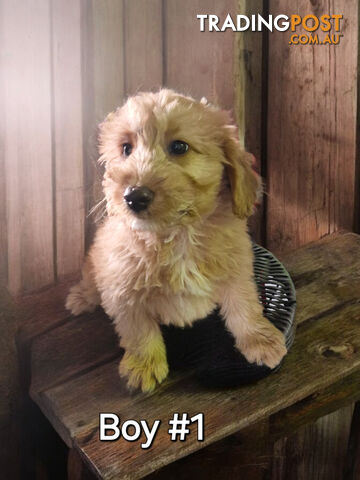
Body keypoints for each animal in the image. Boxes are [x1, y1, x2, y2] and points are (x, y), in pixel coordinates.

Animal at [65, 89, 286, 390]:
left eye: (179, 147)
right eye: (126, 148)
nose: (134, 196)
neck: (176, 235)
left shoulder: (236, 270)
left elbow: (245, 305)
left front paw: (260, 339)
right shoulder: (121, 289)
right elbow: (138, 330)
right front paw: (144, 366)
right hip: (95, 260)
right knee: (89, 278)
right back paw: (81, 297)